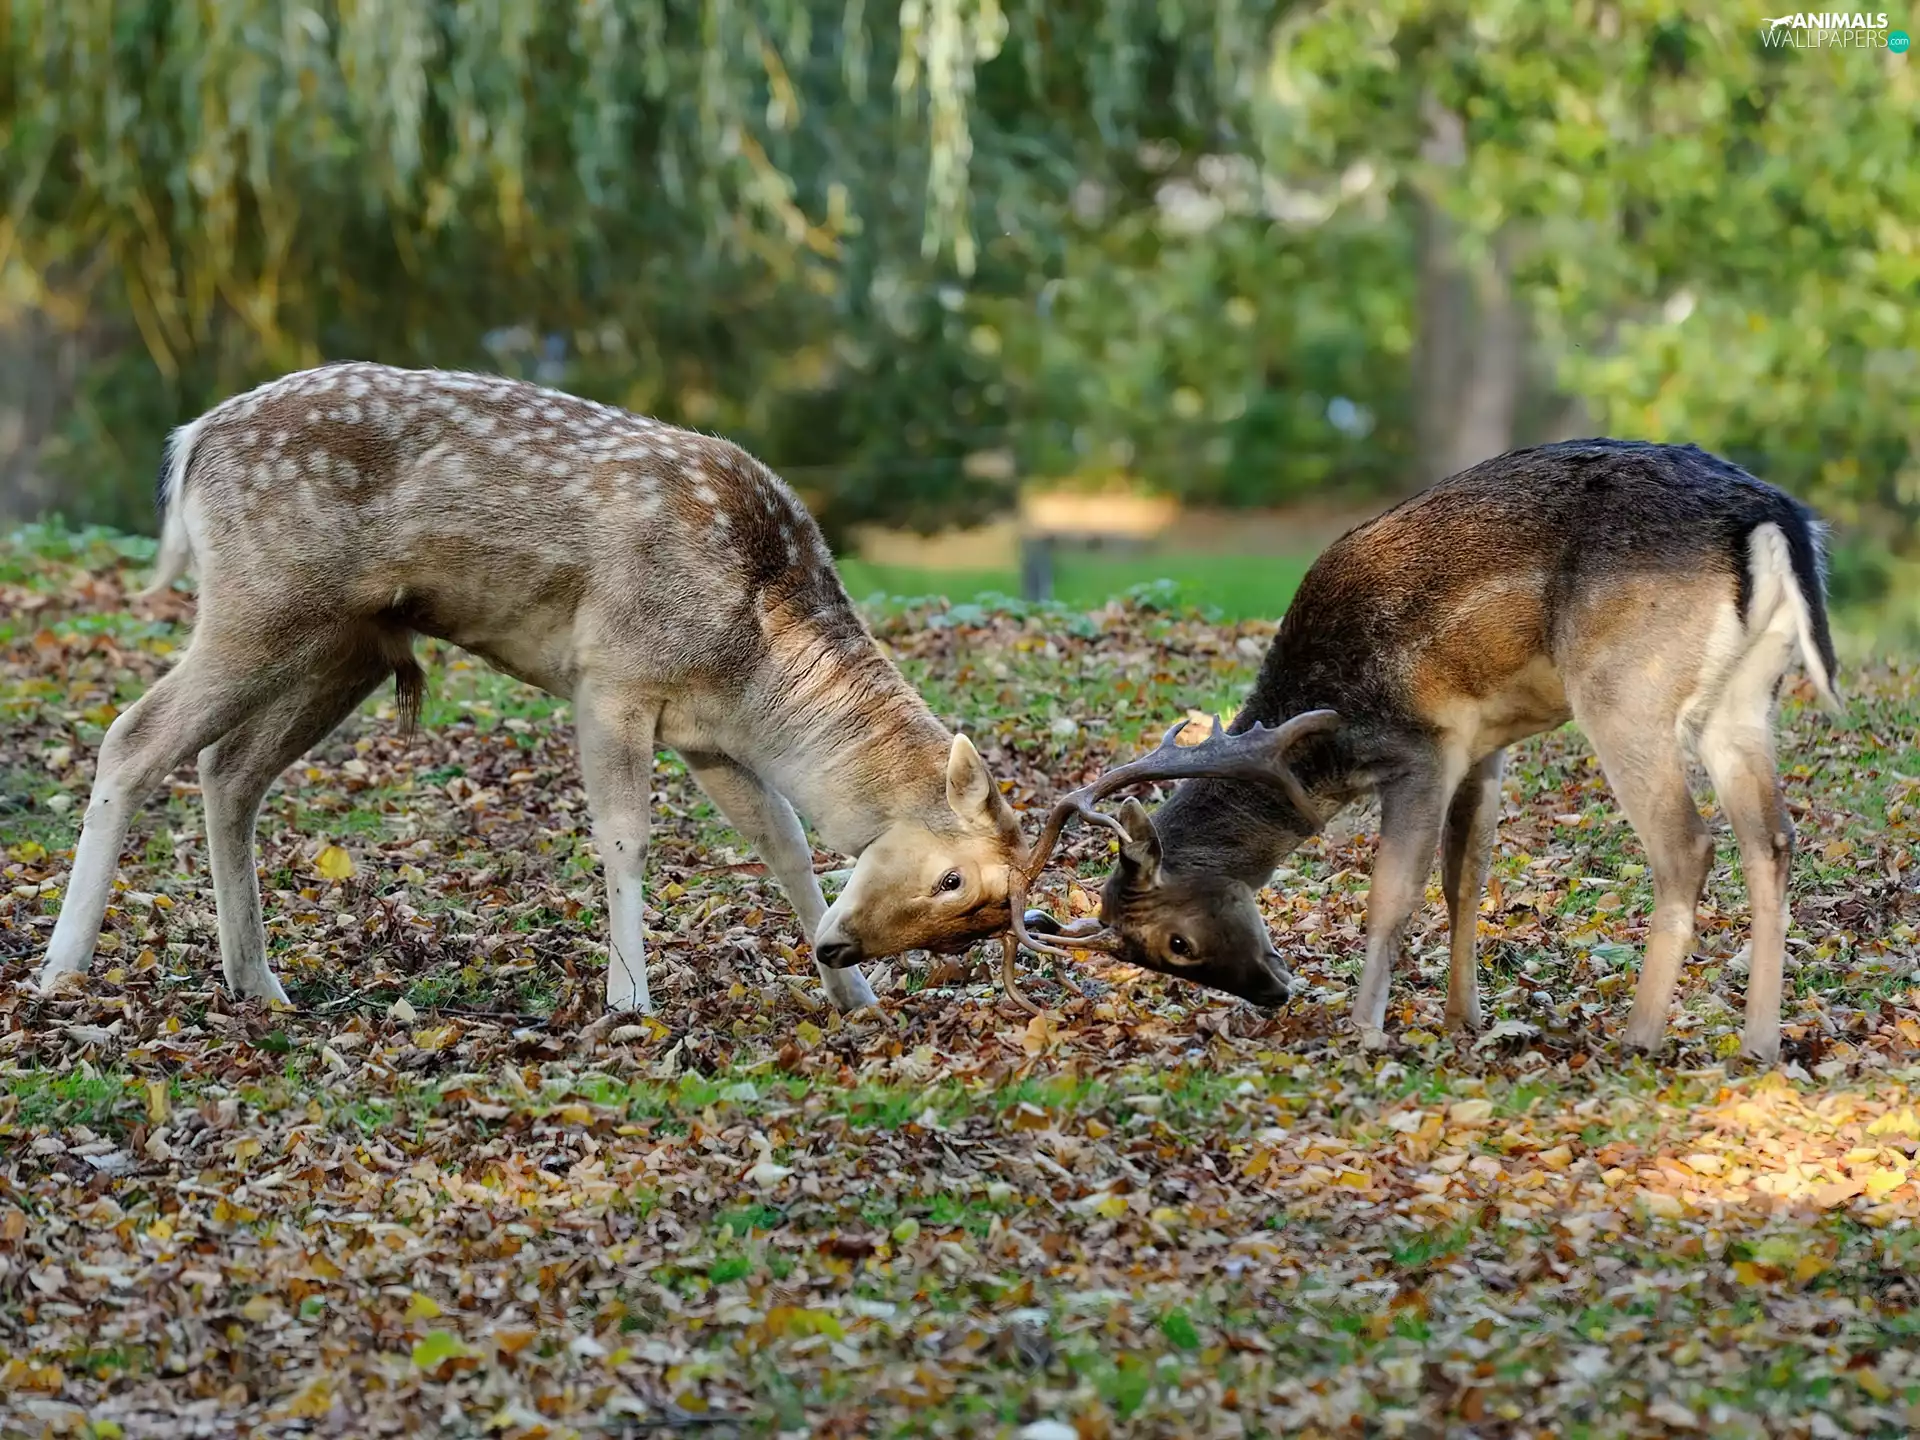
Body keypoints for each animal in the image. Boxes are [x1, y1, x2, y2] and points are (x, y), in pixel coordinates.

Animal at [34, 361, 1034, 1016]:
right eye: (951, 878)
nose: (841, 945)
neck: (758, 653)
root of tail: (189, 442)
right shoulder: (612, 675)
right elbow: (626, 835)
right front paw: (629, 1000)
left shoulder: (711, 736)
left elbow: (783, 841)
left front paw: (853, 997)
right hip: (258, 602)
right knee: (133, 736)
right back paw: (62, 971)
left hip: (341, 646)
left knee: (229, 768)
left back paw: (260, 982)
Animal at [1010, 440, 1840, 1065]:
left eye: (1175, 943)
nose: (1275, 993)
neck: (1321, 739)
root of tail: (1775, 523)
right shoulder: (1483, 744)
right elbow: (1463, 878)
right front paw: (1461, 1019)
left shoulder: (1421, 745)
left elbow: (1393, 891)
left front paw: (1365, 1029)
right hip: (1746, 699)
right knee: (1773, 838)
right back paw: (1759, 1044)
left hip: (1625, 687)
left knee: (1688, 845)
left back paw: (1638, 1038)